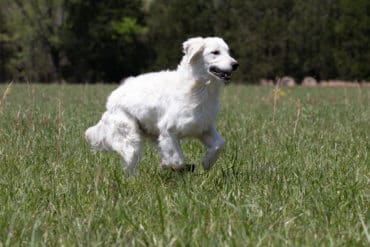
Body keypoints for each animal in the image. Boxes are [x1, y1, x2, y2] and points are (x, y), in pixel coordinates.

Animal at [85, 37, 238, 175]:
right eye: (215, 52)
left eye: (228, 52)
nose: (235, 64)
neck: (199, 89)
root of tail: (111, 101)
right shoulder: (169, 131)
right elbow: (178, 160)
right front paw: (169, 166)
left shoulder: (203, 126)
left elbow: (219, 144)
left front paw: (207, 162)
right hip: (131, 139)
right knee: (130, 167)